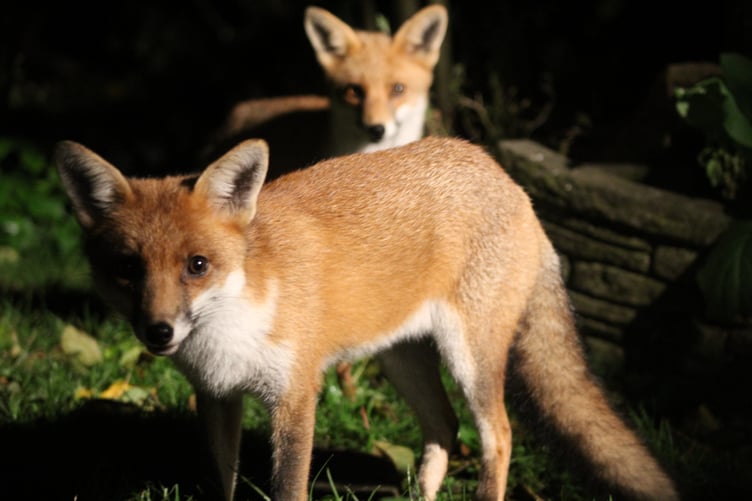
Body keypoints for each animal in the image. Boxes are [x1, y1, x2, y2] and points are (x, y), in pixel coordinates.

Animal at [55, 136, 679, 501]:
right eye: (128, 269)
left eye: (197, 266)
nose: (158, 331)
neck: (232, 328)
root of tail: (507, 179)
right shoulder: (216, 397)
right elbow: (221, 481)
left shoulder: (295, 397)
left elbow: (288, 488)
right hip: (401, 360)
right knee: (443, 429)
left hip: (470, 360)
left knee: (497, 436)